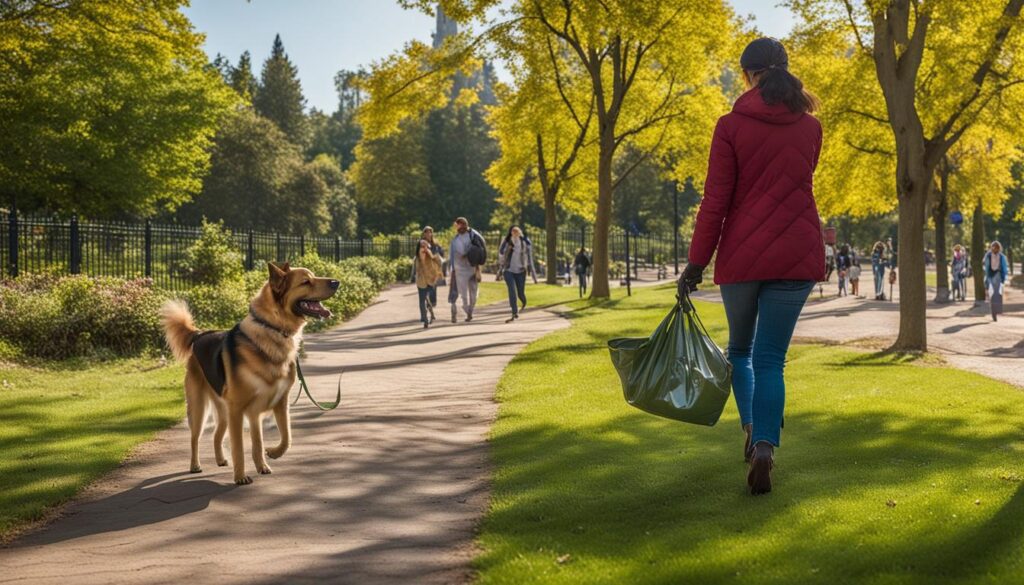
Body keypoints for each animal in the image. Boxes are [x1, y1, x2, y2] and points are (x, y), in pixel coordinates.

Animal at [159, 264, 335, 485]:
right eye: (305, 282)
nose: (336, 282)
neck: (273, 328)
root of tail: (200, 334)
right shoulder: (239, 410)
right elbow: (239, 447)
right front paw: (241, 477)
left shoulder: (275, 404)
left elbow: (284, 437)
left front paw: (270, 456)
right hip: (199, 408)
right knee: (195, 438)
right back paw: (195, 465)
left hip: (223, 411)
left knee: (216, 435)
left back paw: (220, 459)